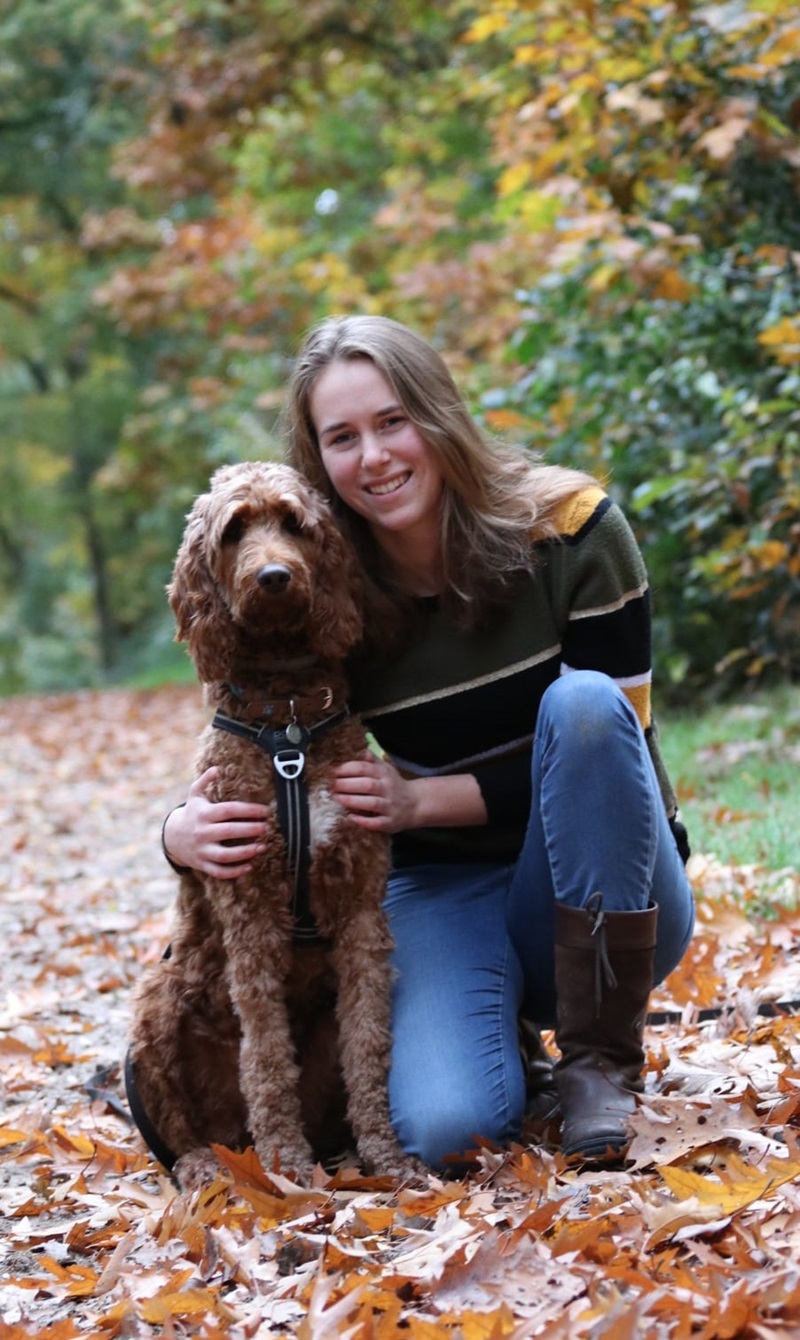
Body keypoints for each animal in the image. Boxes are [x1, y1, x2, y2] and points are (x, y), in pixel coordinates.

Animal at [127, 466, 415, 1189]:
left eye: (293, 523)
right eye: (235, 531)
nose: (276, 577)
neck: (286, 718)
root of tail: (231, 1133)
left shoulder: (362, 909)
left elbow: (369, 1043)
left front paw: (386, 1155)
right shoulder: (249, 908)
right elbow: (264, 1052)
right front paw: (287, 1163)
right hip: (156, 1003)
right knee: (179, 1131)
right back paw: (209, 1169)